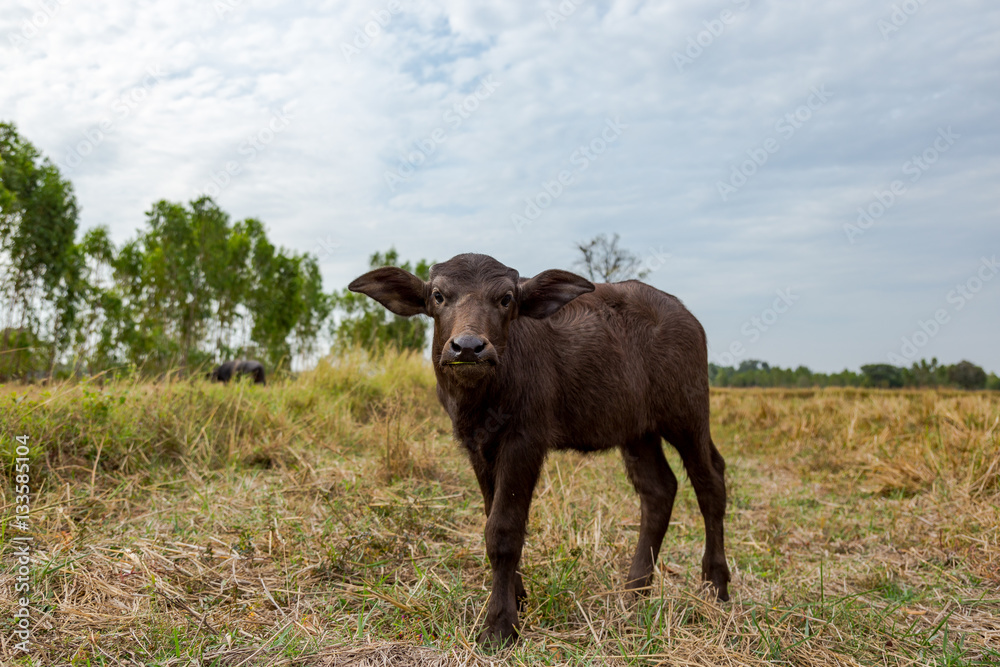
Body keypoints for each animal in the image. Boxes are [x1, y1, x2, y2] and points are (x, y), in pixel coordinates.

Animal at [349, 253, 729, 647]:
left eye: (505, 298)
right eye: (438, 295)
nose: (468, 347)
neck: (485, 395)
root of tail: (687, 318)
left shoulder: (524, 442)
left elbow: (503, 531)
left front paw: (500, 624)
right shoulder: (477, 447)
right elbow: (490, 517)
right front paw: (516, 596)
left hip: (687, 414)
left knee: (710, 482)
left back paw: (715, 584)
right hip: (638, 431)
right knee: (658, 489)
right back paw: (635, 590)